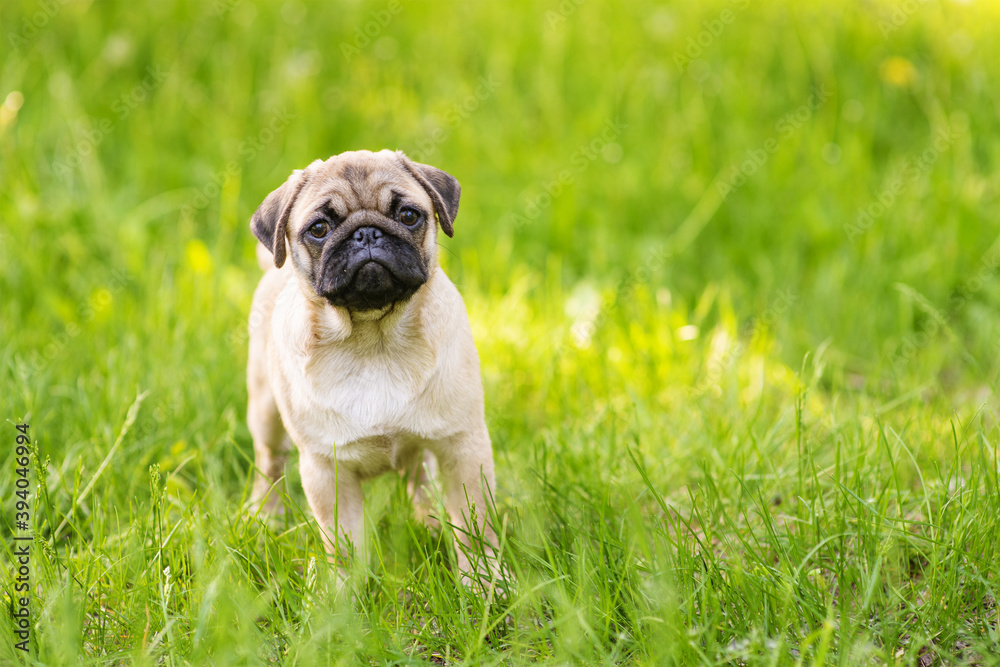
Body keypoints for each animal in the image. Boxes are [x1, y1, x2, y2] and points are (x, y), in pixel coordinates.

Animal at [246, 149, 496, 580]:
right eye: (319, 228)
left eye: (409, 215)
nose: (366, 234)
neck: (373, 342)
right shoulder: (326, 470)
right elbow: (343, 542)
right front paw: (343, 590)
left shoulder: (463, 447)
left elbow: (475, 528)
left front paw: (487, 583)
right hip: (264, 413)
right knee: (269, 462)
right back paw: (266, 515)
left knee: (417, 475)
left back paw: (428, 522)